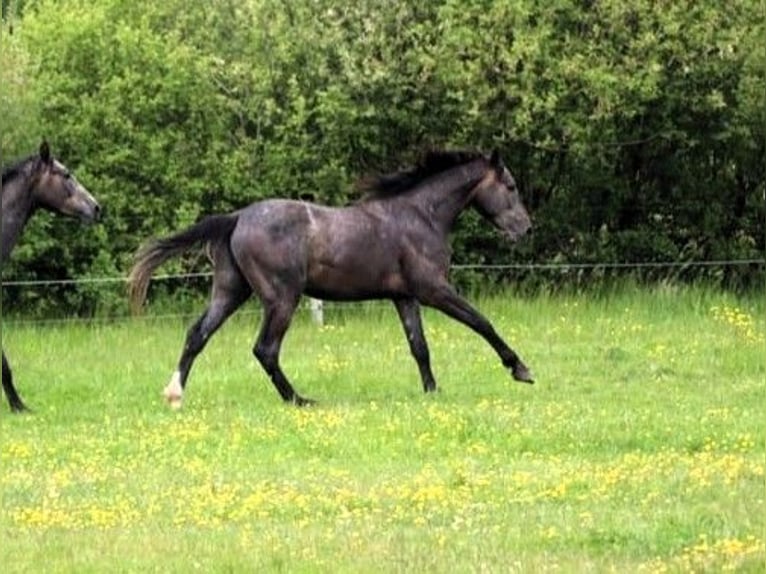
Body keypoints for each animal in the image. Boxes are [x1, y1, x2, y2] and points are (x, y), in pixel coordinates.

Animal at [129, 149, 533, 408]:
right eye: (511, 186)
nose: (526, 229)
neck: (421, 216)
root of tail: (238, 217)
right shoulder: (434, 290)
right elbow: (481, 322)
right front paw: (521, 369)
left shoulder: (404, 297)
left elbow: (419, 346)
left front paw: (432, 392)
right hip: (281, 298)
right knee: (265, 349)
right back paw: (300, 400)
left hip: (231, 292)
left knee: (197, 334)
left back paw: (175, 395)